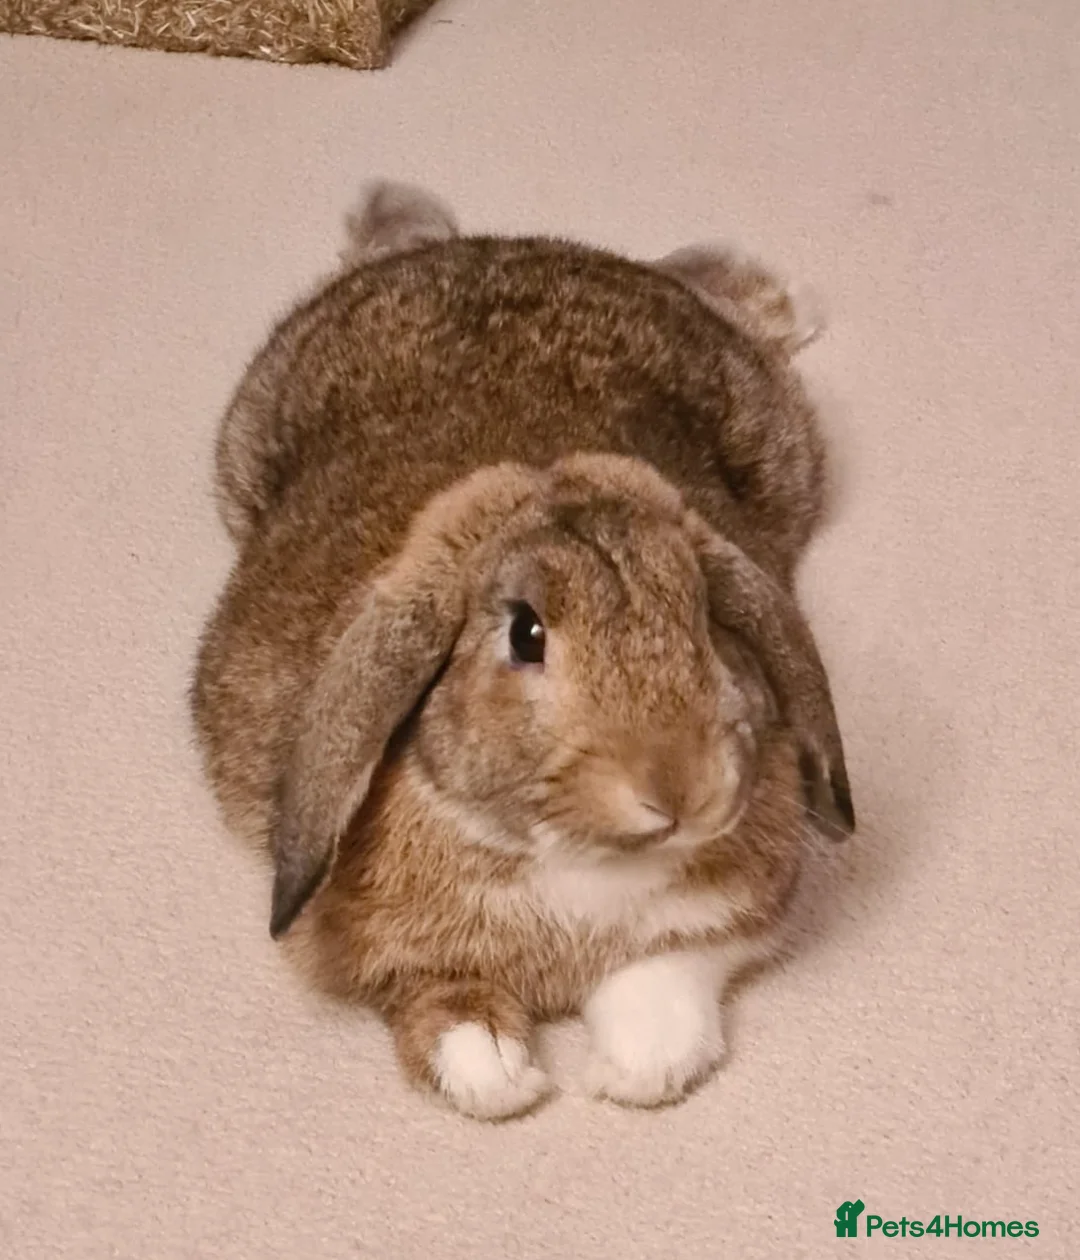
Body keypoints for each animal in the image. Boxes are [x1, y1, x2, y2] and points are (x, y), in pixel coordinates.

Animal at [191, 181, 854, 1119]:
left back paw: (783, 296)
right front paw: (498, 1071)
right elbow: (438, 1002)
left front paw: (634, 1072)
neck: (574, 860)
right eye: (524, 634)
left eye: (704, 617)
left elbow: (663, 979)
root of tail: (491, 247)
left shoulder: (719, 919)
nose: (679, 790)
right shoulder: (393, 960)